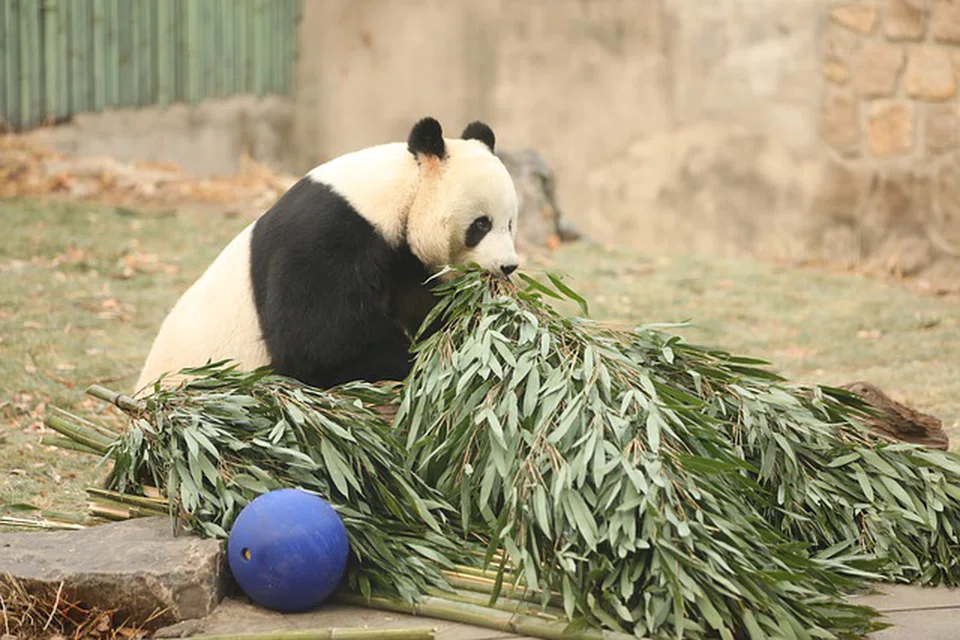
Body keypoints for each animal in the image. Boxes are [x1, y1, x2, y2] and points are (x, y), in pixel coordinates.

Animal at [134, 117, 520, 393]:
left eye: (511, 223)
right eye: (481, 224)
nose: (508, 266)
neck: (396, 192)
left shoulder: (405, 261)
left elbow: (425, 306)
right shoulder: (327, 235)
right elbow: (321, 340)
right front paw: (413, 361)